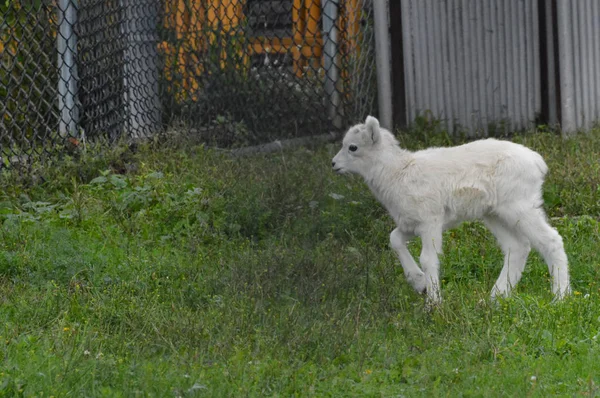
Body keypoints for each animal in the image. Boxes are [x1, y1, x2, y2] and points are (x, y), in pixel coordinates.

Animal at [332, 115, 572, 304]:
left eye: (352, 147)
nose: (334, 164)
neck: (397, 173)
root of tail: (538, 162)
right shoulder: (411, 224)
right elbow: (394, 239)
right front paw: (420, 284)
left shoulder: (430, 221)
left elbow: (428, 259)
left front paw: (433, 303)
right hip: (494, 214)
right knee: (518, 247)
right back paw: (494, 298)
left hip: (519, 207)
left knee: (551, 240)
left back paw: (559, 297)